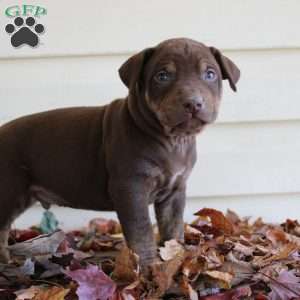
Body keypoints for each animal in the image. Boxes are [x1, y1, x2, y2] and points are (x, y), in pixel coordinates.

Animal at [0, 38, 239, 266]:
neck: (172, 139)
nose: (193, 103)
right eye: (162, 76)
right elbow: (141, 232)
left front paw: (175, 257)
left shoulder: (175, 190)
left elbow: (173, 227)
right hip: (9, 190)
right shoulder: (131, 187)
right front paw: (149, 266)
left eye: (210, 74)